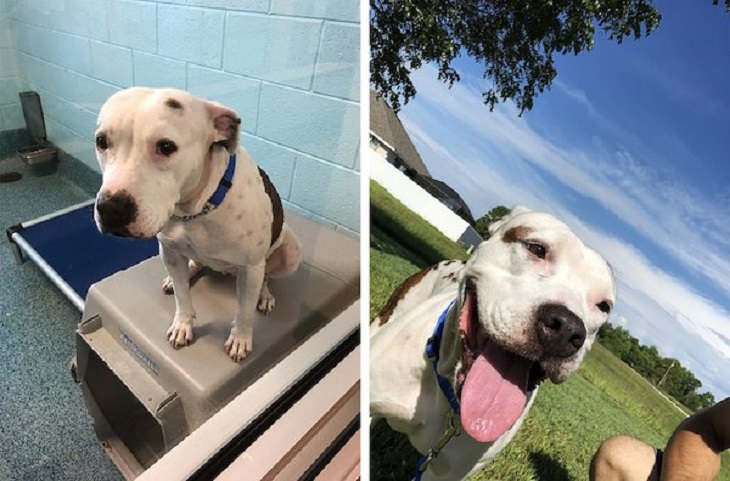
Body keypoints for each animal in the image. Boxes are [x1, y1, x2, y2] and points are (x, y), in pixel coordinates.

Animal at [92, 86, 300, 360]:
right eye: (101, 142)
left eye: (166, 146)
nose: (110, 209)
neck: (195, 210)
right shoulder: (169, 251)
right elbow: (183, 297)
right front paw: (183, 324)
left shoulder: (250, 267)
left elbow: (243, 312)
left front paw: (240, 339)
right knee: (194, 264)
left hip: (290, 253)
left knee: (267, 276)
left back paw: (264, 295)